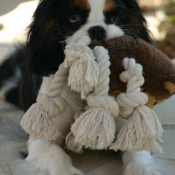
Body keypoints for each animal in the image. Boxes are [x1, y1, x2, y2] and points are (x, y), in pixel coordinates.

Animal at [0, 0, 161, 174]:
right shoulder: (41, 139)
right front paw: (68, 171)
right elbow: (56, 154)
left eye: (115, 17)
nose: (97, 30)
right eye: (73, 17)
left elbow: (137, 151)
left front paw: (141, 169)